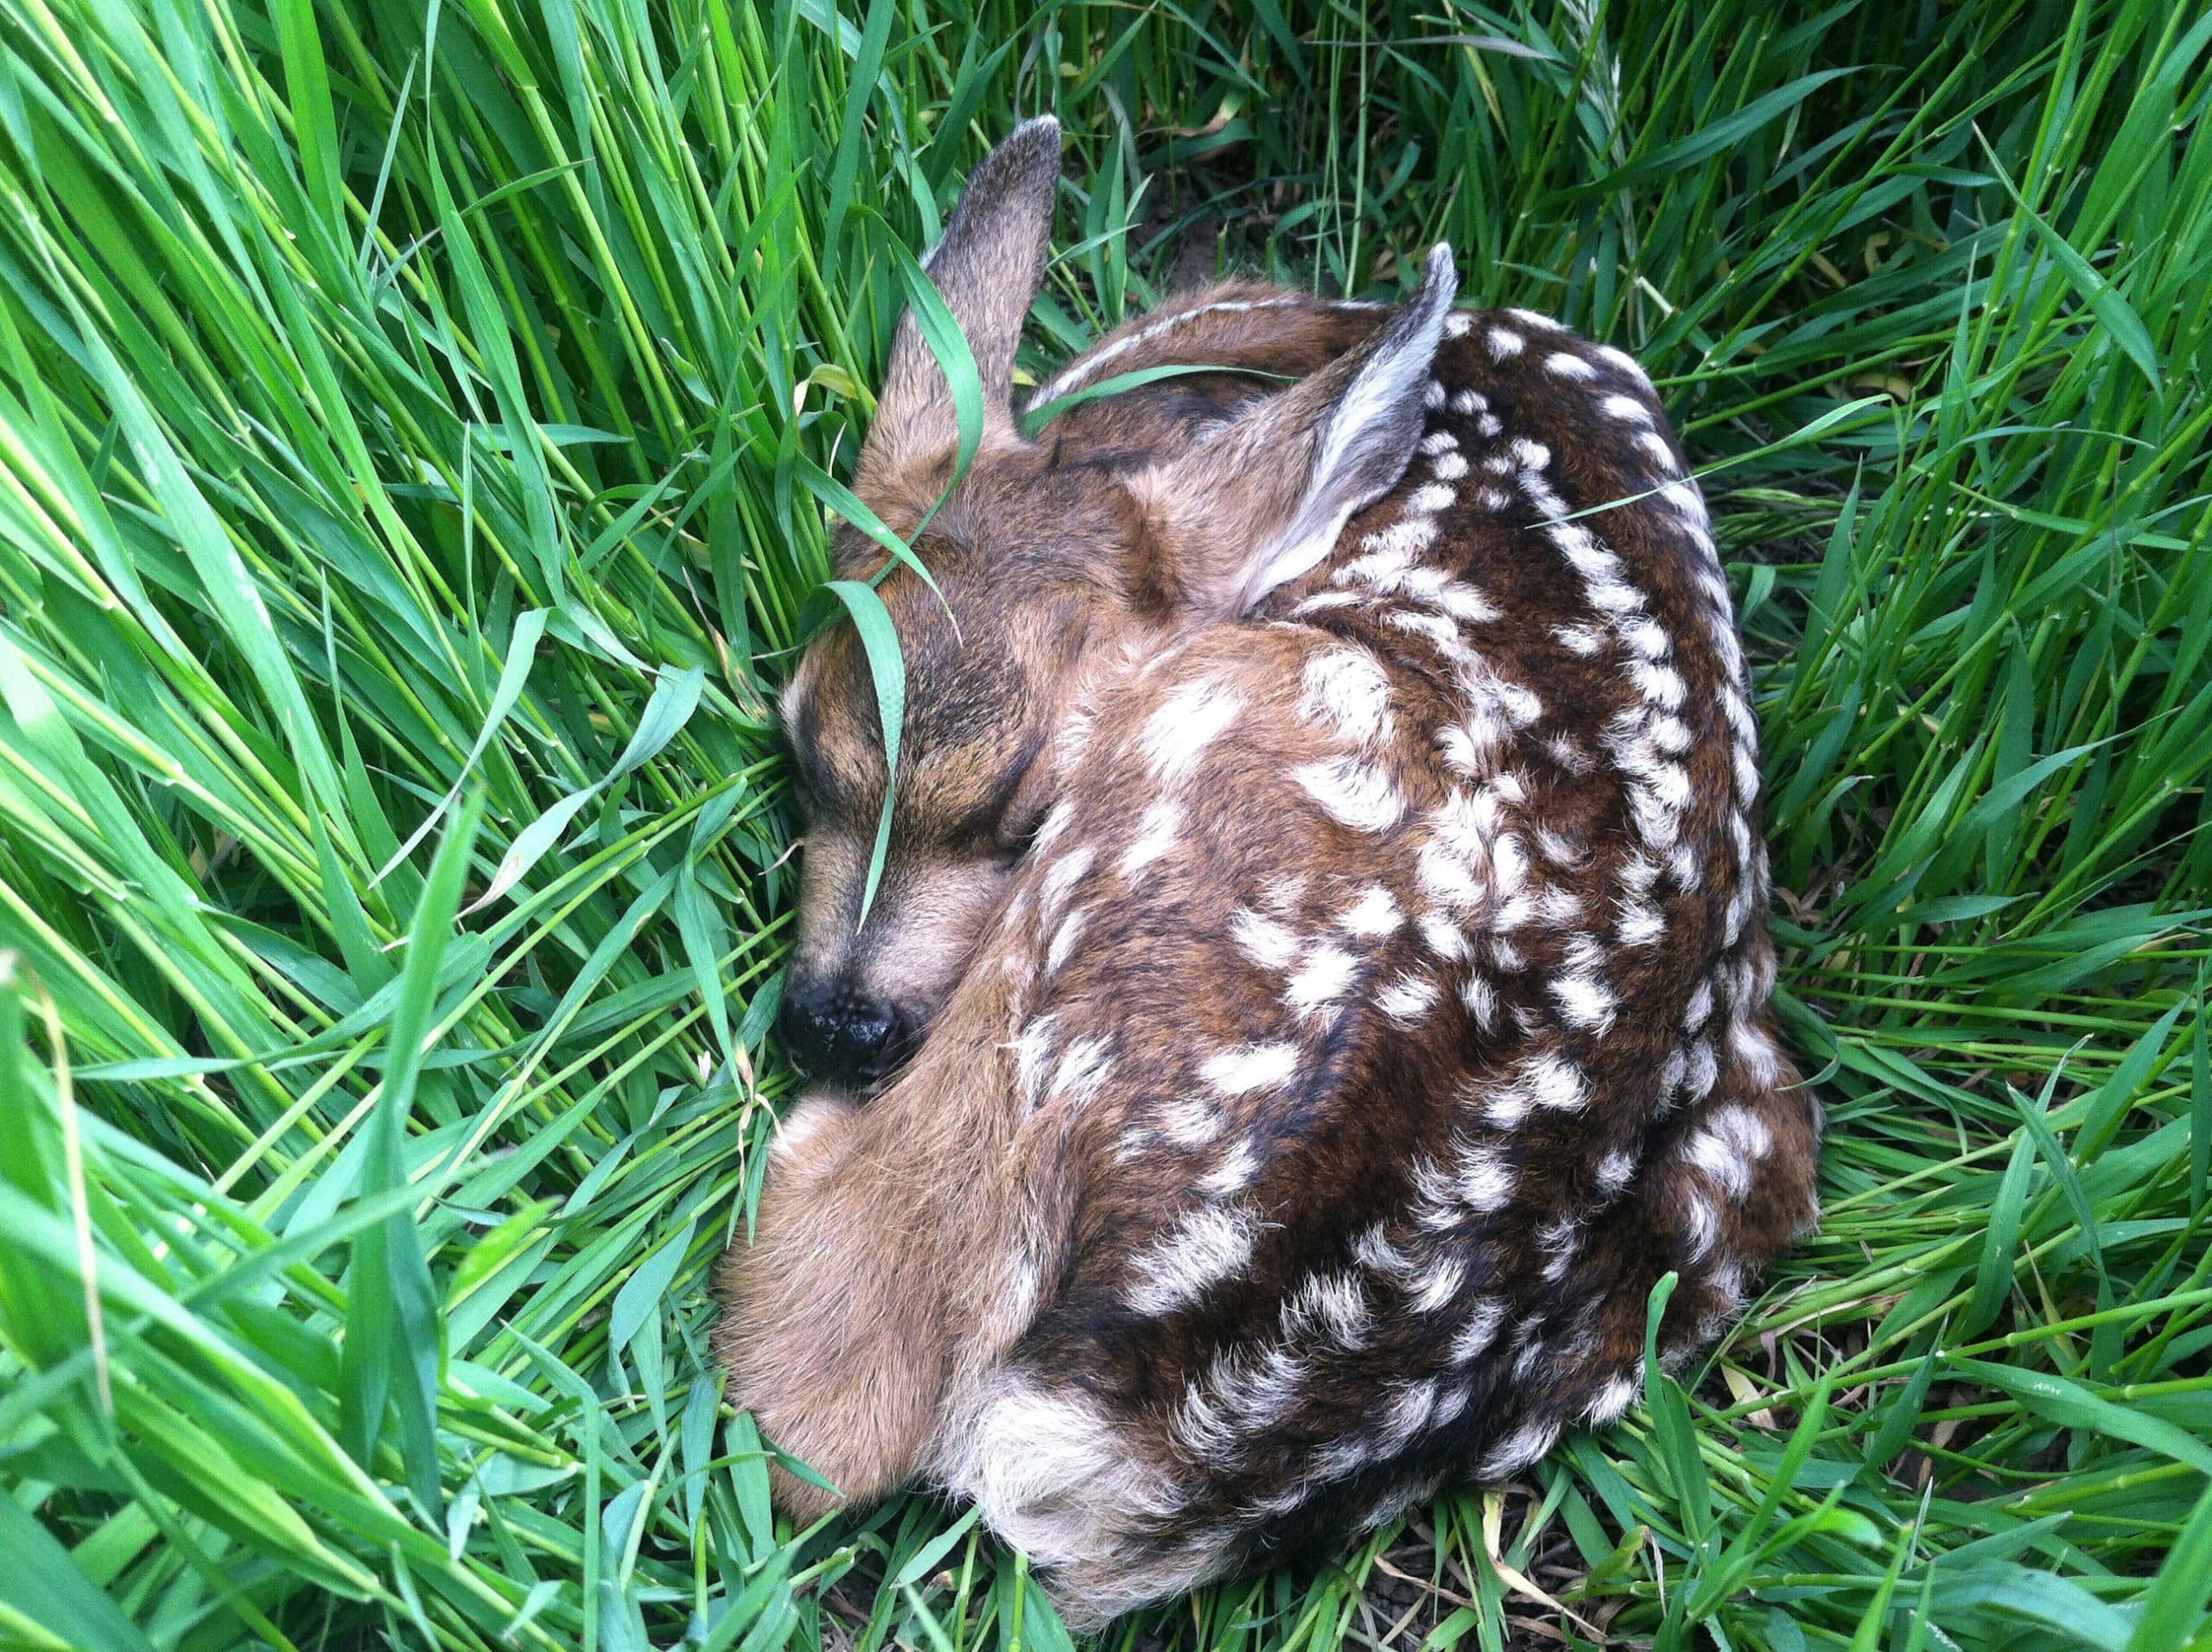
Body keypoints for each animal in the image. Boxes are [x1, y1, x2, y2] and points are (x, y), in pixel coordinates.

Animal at [714, 118, 1822, 1629]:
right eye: (796, 745)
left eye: (1031, 809)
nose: (835, 1022)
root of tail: (1155, 1455)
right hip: (1749, 1141)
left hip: (1185, 782)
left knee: (826, 1402)